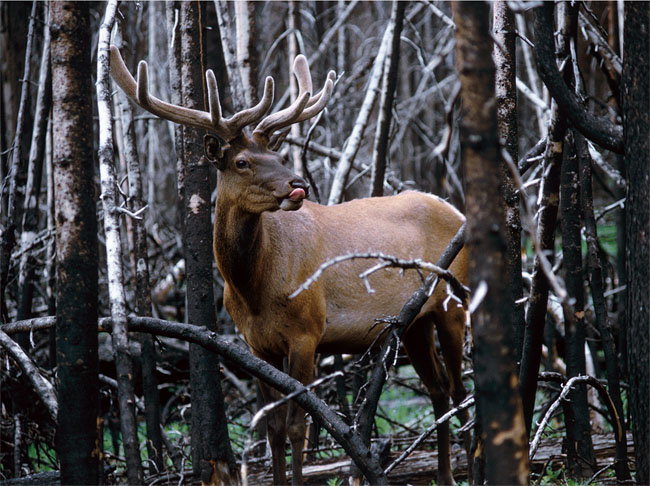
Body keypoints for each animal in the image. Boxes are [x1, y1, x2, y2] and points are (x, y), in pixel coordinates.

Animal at [110, 46, 469, 486]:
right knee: (438, 389)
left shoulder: (307, 332)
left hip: (454, 302)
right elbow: (274, 428)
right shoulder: (256, 345)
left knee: (460, 389)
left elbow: (300, 427)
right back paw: (447, 474)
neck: (254, 288)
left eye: (279, 155)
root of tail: (457, 210)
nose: (299, 184)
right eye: (242, 162)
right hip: (415, 323)